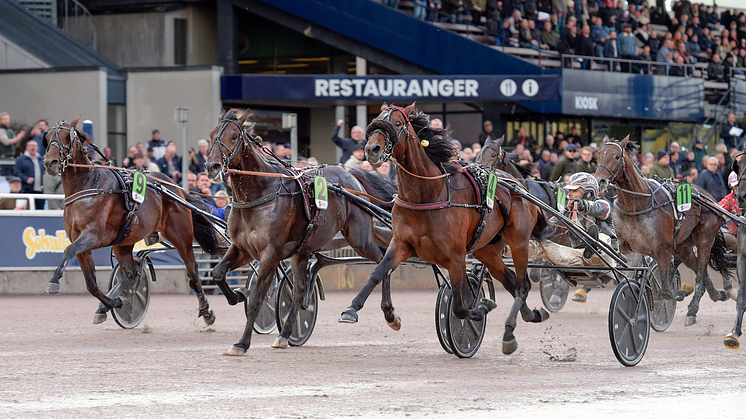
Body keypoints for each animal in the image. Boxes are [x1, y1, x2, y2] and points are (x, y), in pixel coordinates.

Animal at [42, 118, 221, 324]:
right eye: (47, 137)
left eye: (66, 136)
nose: (50, 162)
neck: (88, 185)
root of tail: (176, 188)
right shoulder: (80, 242)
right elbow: (90, 283)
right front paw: (112, 303)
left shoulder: (93, 235)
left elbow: (69, 250)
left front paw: (53, 281)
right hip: (123, 242)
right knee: (130, 275)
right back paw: (110, 303)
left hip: (181, 235)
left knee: (193, 271)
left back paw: (206, 311)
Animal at [203, 109, 390, 358]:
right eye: (212, 135)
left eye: (234, 136)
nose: (212, 166)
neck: (261, 192)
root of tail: (351, 176)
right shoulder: (242, 248)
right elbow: (217, 273)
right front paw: (237, 296)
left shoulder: (270, 253)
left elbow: (257, 299)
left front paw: (242, 343)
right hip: (304, 249)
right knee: (301, 290)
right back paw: (284, 335)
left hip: (359, 237)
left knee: (382, 261)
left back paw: (383, 313)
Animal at [342, 102, 548, 354]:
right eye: (375, 121)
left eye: (398, 123)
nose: (372, 149)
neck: (428, 194)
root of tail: (518, 184)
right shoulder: (400, 244)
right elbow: (377, 272)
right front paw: (356, 309)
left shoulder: (456, 256)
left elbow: (460, 306)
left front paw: (481, 309)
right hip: (486, 249)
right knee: (511, 280)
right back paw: (531, 315)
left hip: (518, 241)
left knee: (522, 285)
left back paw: (509, 331)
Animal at [592, 136, 732, 326]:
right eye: (598, 155)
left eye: (616, 156)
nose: (600, 180)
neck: (637, 203)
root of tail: (710, 198)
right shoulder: (628, 249)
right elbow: (630, 276)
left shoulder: (662, 250)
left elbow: (665, 291)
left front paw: (674, 294)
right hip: (683, 246)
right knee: (698, 269)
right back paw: (716, 293)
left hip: (705, 238)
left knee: (701, 272)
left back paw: (692, 308)